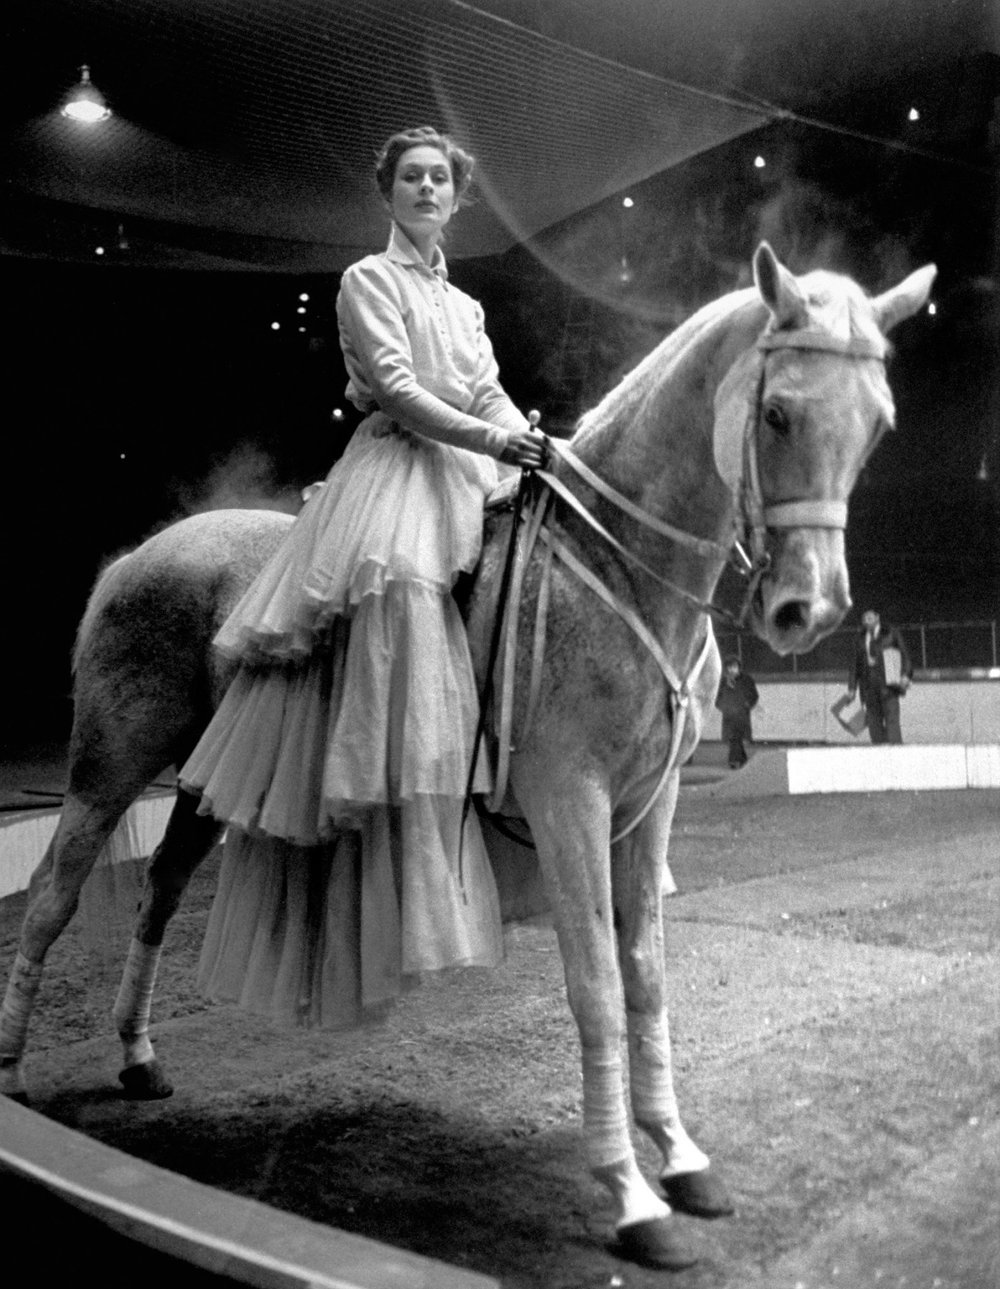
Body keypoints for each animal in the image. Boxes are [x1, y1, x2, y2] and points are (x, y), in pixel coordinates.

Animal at [1, 243, 938, 1268]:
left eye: (878, 425)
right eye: (778, 414)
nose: (808, 610)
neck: (615, 569)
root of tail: (135, 557)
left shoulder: (649, 809)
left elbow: (647, 978)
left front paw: (682, 1158)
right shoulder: (571, 801)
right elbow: (598, 986)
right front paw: (632, 1198)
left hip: (206, 789)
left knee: (162, 890)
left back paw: (138, 1056)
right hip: (111, 761)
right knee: (51, 894)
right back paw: (15, 1067)